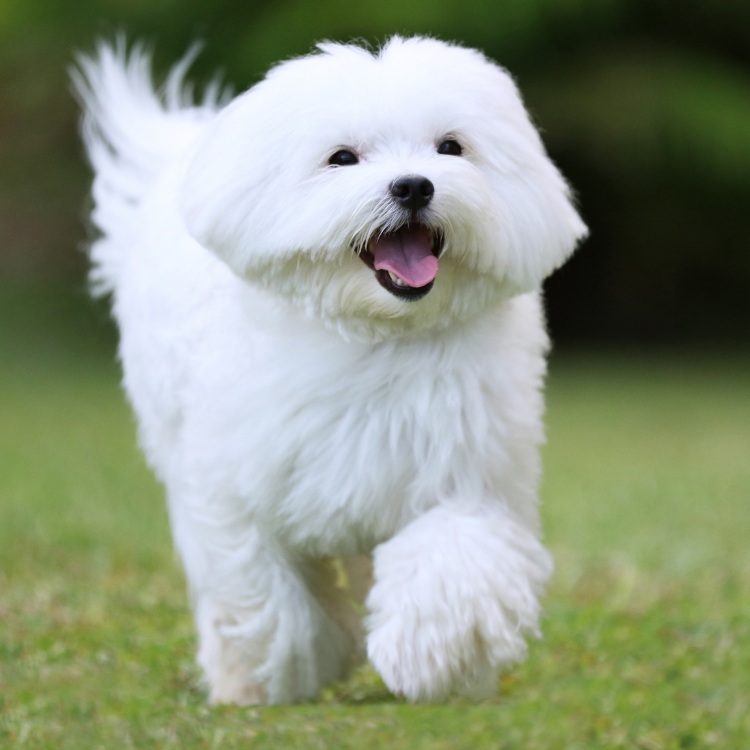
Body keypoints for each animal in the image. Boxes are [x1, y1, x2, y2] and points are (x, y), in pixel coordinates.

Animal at [73, 35, 588, 704]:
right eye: (342, 158)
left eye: (451, 147)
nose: (414, 186)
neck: (375, 333)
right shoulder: (234, 487)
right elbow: (267, 590)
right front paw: (288, 668)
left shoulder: (468, 467)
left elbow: (453, 554)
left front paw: (428, 656)